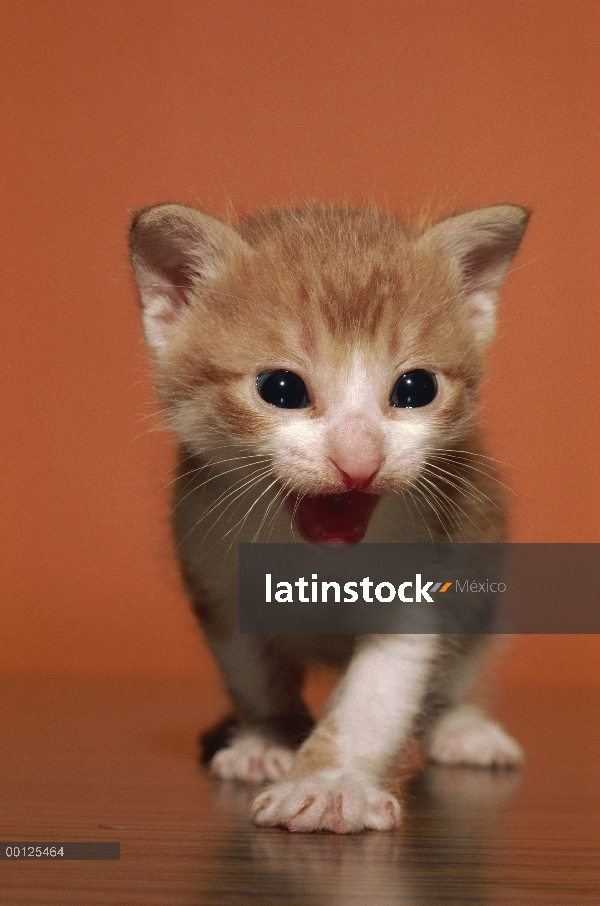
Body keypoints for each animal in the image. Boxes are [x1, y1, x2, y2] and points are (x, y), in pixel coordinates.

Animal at [129, 200, 528, 832]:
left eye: (416, 387)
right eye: (281, 388)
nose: (359, 461)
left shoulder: (422, 579)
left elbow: (374, 696)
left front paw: (331, 782)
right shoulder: (212, 566)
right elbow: (255, 672)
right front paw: (269, 737)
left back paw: (459, 725)